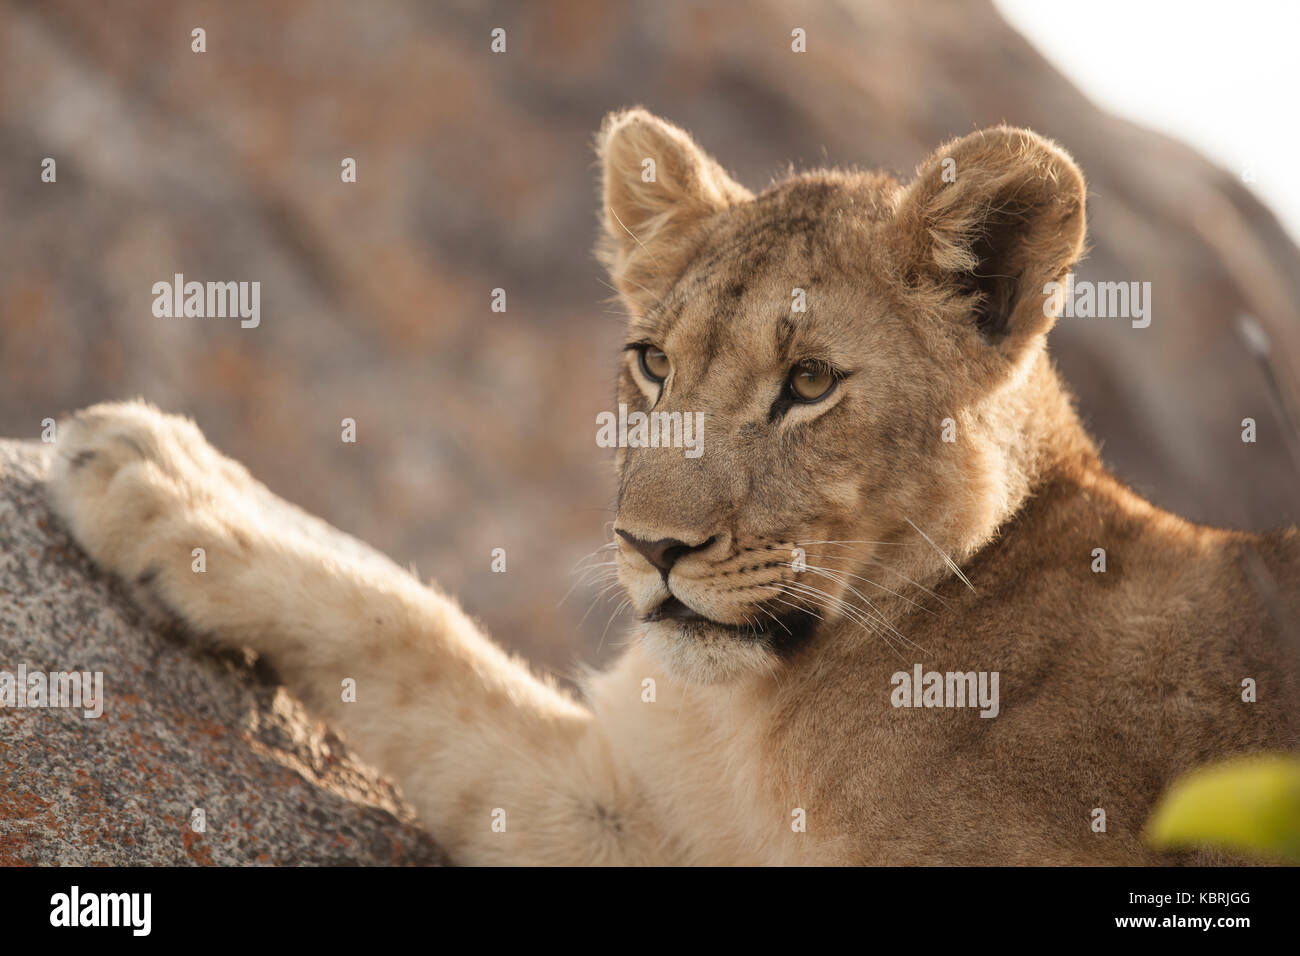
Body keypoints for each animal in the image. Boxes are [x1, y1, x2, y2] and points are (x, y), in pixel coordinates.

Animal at [45, 109, 1299, 865]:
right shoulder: (651, 812)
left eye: (808, 383)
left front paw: (157, 478)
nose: (652, 548)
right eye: (652, 361)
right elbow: (419, 645)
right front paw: (161, 471)